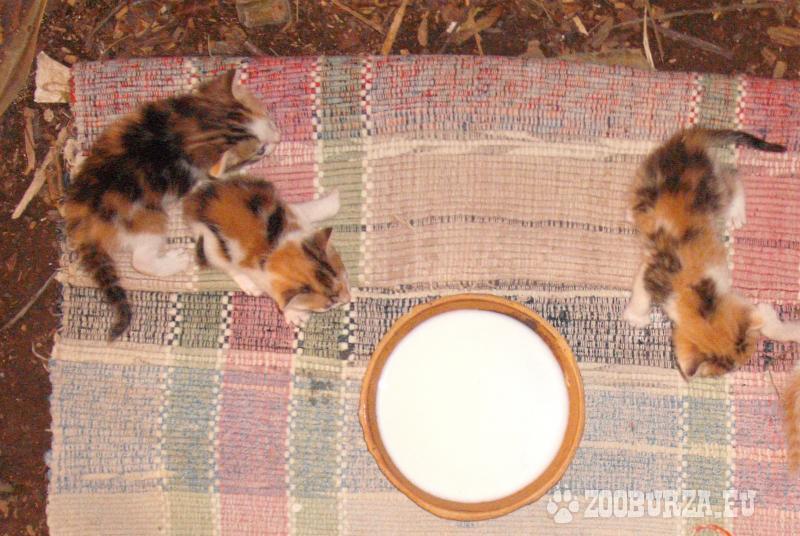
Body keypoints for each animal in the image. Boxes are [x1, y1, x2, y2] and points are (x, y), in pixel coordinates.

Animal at [63, 69, 280, 339]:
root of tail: (85, 226)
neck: (183, 128)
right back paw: (176, 261)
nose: (278, 138)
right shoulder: (194, 179)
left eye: (268, 119)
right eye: (259, 151)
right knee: (140, 260)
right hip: (150, 219)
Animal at [183, 177, 351, 326]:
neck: (275, 248)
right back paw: (249, 286)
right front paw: (294, 314)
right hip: (210, 244)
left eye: (345, 276)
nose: (348, 299)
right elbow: (280, 299)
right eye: (329, 304)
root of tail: (193, 201)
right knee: (226, 265)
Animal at [623, 127, 800, 379]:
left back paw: (735, 212)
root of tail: (688, 140)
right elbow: (641, 287)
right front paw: (636, 317)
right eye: (726, 370)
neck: (694, 291)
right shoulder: (656, 267)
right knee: (732, 178)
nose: (736, 369)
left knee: (733, 177)